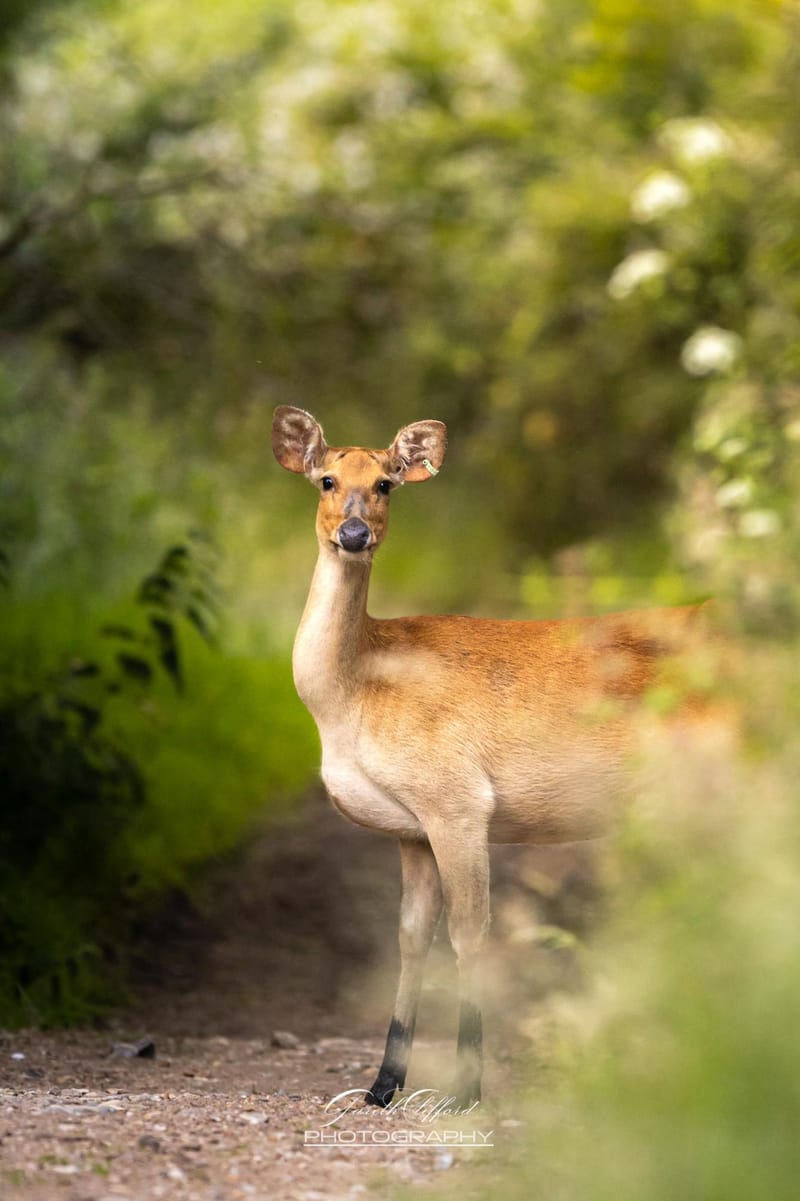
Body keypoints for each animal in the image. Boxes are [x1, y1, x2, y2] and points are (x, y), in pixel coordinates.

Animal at [271, 404, 706, 1108]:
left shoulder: (457, 799)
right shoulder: (411, 828)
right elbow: (410, 937)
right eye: (326, 480)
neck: (356, 692)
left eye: (387, 483)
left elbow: (469, 934)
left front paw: (466, 1090)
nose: (355, 534)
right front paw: (382, 1085)